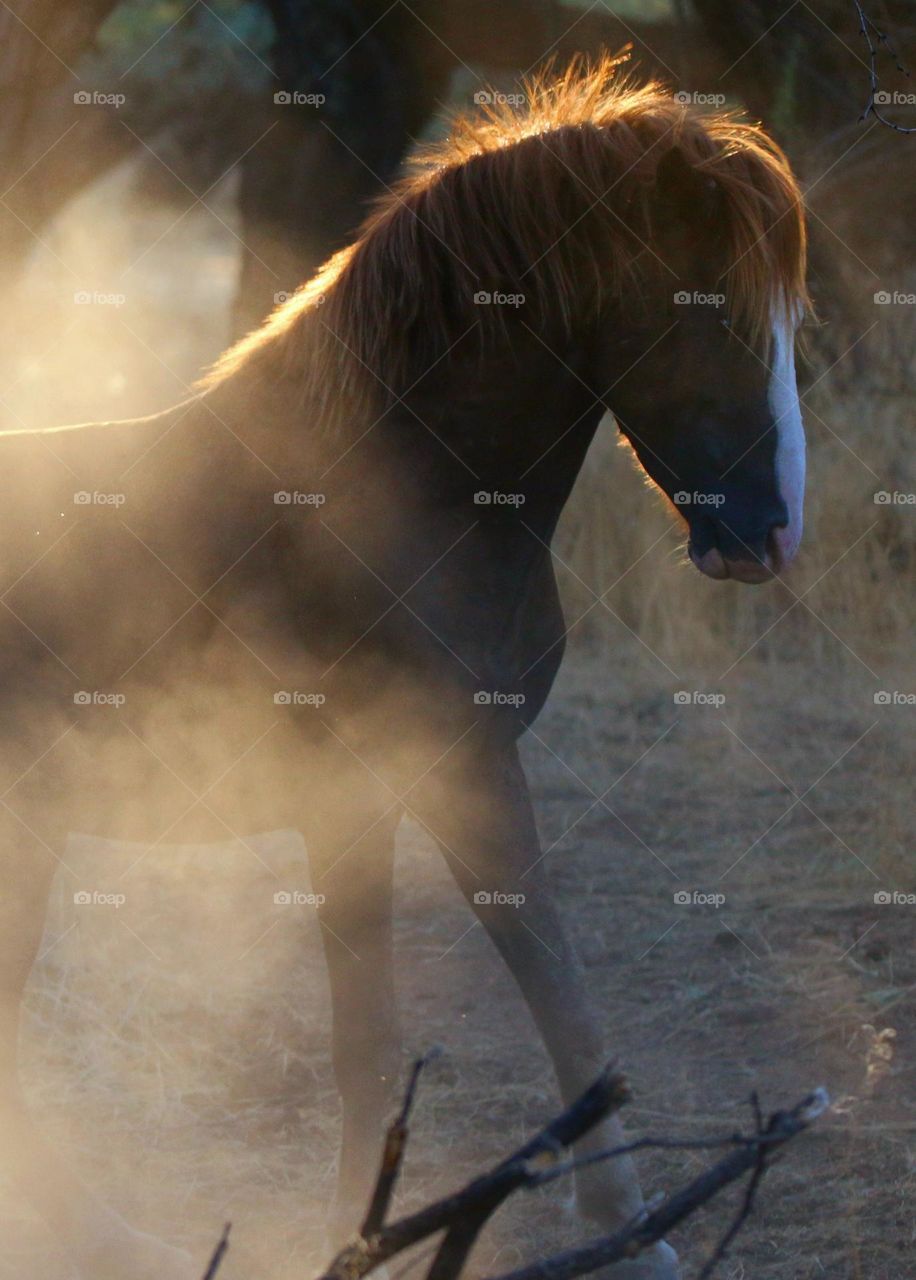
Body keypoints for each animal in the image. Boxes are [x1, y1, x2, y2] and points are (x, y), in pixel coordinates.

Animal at [0, 59, 807, 1280]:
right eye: (706, 303)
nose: (769, 533)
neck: (400, 499)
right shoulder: (430, 779)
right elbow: (508, 1007)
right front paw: (618, 1228)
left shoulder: (395, 793)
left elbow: (406, 1027)